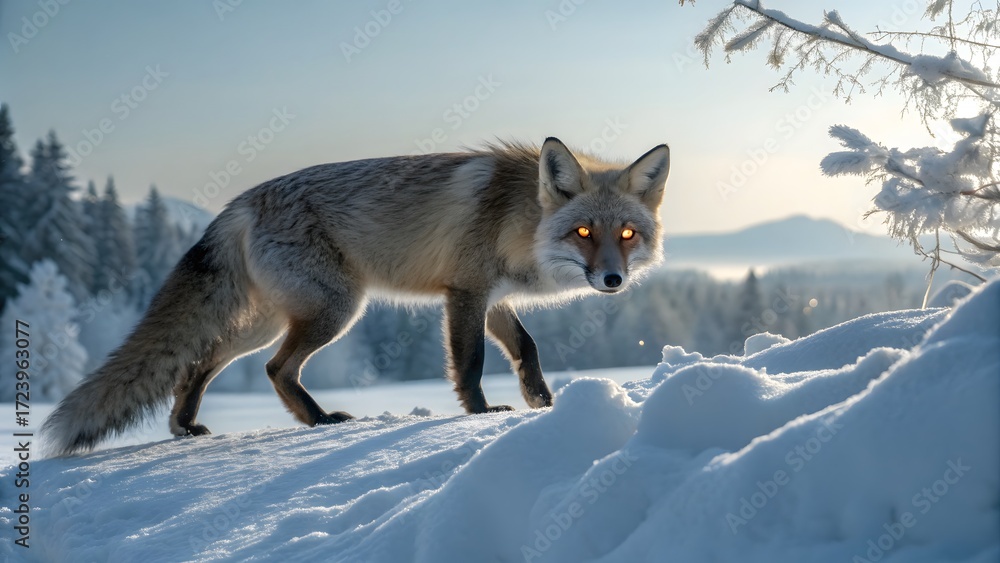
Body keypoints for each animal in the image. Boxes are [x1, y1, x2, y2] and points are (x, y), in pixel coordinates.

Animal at [41, 137, 670, 456]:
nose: (612, 281)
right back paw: (319, 422)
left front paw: (542, 402)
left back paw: (186, 426)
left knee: (197, 363)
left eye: (626, 235)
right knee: (274, 369)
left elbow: (528, 349)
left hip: (266, 323)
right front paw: (481, 413)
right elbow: (469, 362)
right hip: (333, 312)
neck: (518, 217)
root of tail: (241, 201)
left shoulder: (492, 299)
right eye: (583, 232)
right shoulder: (465, 291)